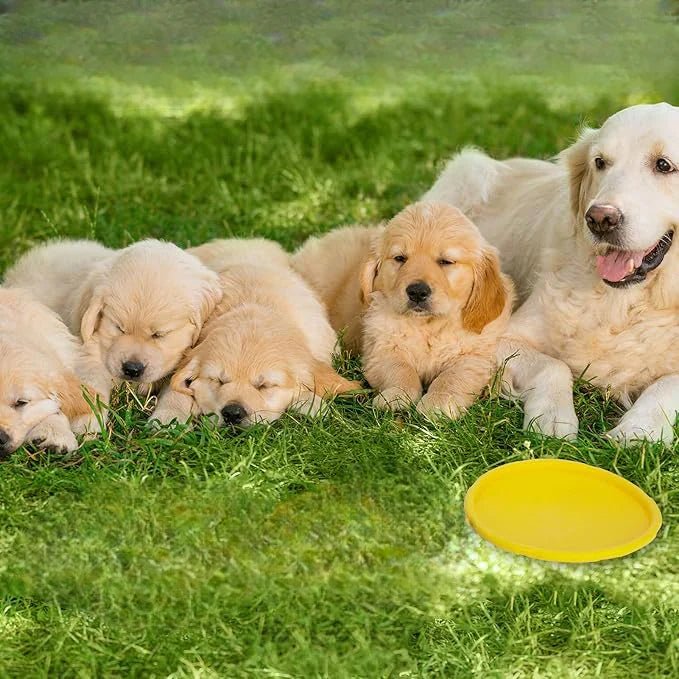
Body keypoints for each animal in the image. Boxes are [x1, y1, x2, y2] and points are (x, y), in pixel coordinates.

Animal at [3, 239, 222, 430]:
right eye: (119, 327)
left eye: (159, 334)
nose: (132, 369)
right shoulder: (89, 350)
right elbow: (91, 385)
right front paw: (86, 421)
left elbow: (179, 390)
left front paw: (169, 419)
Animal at [151, 239, 358, 428]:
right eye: (217, 380)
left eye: (264, 386)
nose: (233, 413)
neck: (254, 304)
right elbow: (174, 387)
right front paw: (169, 415)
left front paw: (312, 404)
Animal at [294, 201, 516, 420]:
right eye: (400, 258)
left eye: (446, 261)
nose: (417, 292)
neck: (428, 326)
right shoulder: (380, 350)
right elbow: (401, 370)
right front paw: (397, 396)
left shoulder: (475, 357)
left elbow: (453, 376)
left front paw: (439, 403)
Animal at [424, 102, 679, 446]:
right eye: (600, 162)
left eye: (664, 165)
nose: (599, 219)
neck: (625, 302)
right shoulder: (502, 336)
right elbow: (555, 366)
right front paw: (552, 419)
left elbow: (668, 383)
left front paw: (639, 429)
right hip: (469, 170)